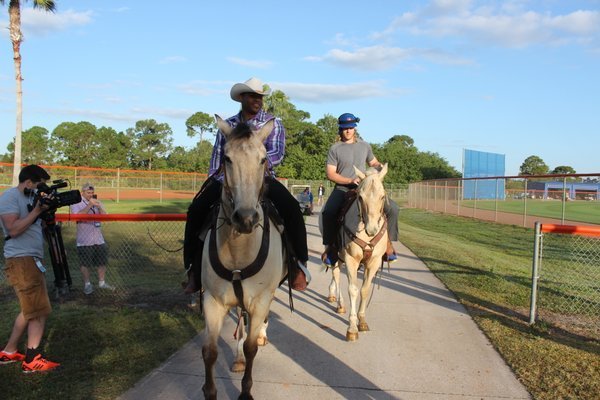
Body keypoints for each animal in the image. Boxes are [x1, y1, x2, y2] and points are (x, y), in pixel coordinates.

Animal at [200, 115, 288, 400]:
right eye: (227, 158)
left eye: (262, 160)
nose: (246, 218)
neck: (238, 248)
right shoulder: (212, 300)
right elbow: (210, 351)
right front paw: (210, 392)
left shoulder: (260, 299)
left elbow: (251, 348)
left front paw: (245, 393)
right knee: (240, 319)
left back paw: (261, 335)